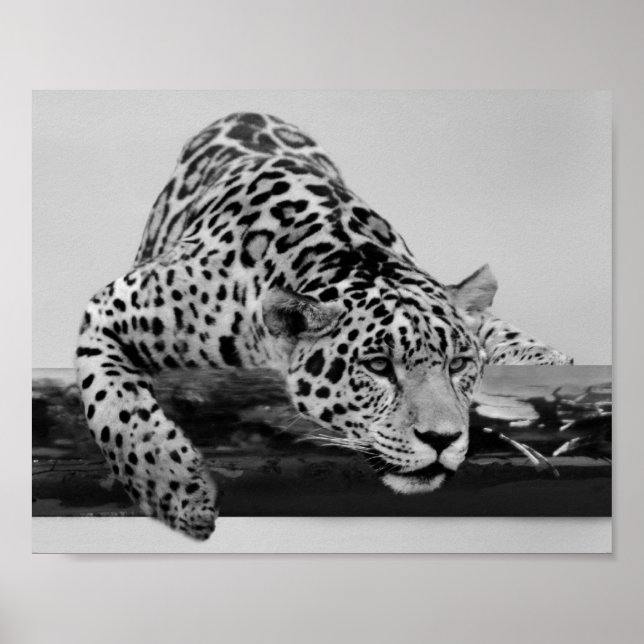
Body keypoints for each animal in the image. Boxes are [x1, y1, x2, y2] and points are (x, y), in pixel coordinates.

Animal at [76, 112, 573, 539]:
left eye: (458, 365)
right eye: (378, 365)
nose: (442, 439)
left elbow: (503, 331)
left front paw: (548, 364)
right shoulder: (110, 309)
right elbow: (119, 409)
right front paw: (177, 492)